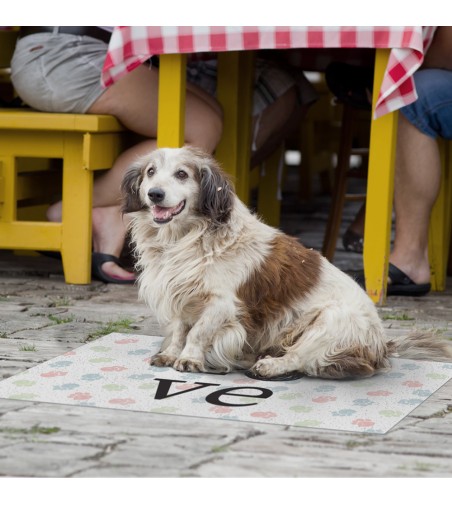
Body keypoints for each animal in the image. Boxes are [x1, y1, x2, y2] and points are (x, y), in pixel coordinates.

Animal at [121, 146, 452, 378]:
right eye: (150, 172)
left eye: (182, 174)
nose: (155, 194)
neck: (185, 240)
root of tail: (382, 342)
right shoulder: (179, 293)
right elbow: (180, 329)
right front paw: (171, 353)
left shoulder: (221, 304)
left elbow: (198, 332)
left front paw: (189, 358)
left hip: (328, 321)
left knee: (303, 358)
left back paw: (269, 366)